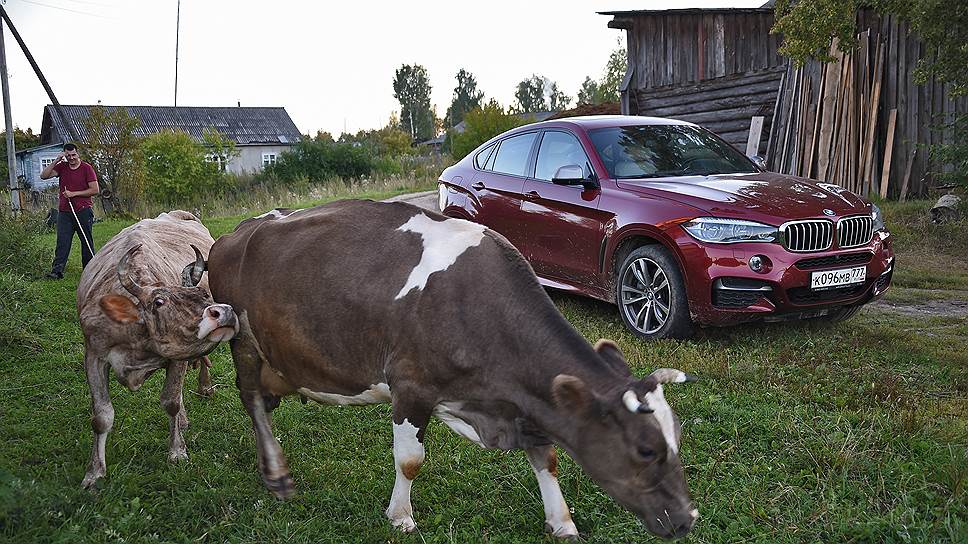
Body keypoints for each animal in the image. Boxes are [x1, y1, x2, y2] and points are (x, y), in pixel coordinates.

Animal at [76, 210, 239, 486]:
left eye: (204, 294)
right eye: (159, 302)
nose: (223, 313)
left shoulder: (179, 356)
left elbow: (170, 401)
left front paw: (177, 452)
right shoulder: (94, 354)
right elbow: (101, 416)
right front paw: (94, 472)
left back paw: (204, 387)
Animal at [208, 201, 700, 540]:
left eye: (676, 436)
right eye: (645, 450)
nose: (687, 519)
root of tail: (238, 231)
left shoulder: (527, 401)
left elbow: (548, 458)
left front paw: (562, 523)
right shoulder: (410, 386)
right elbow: (409, 460)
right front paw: (401, 517)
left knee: (263, 401)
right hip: (241, 339)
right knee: (251, 401)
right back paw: (276, 473)